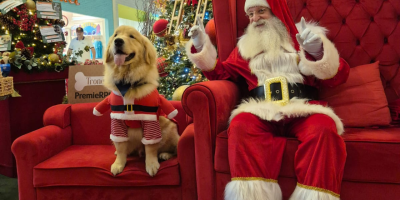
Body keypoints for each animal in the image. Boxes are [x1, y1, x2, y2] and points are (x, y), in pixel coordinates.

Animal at [103, 25, 180, 177]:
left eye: (132, 36)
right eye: (116, 35)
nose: (118, 41)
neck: (128, 83)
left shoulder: (150, 120)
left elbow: (150, 147)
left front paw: (151, 164)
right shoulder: (117, 121)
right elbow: (120, 147)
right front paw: (119, 163)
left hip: (169, 130)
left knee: (175, 150)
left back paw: (165, 155)